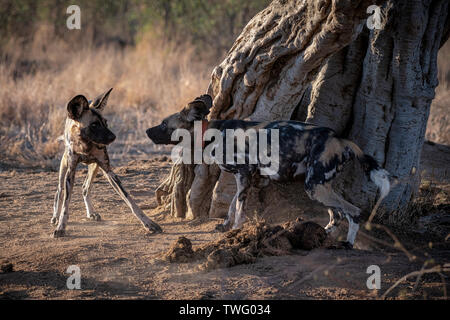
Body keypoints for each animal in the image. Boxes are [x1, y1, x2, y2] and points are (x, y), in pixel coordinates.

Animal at [52, 89, 162, 236]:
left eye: (106, 122)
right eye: (94, 125)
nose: (113, 137)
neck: (86, 145)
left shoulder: (108, 170)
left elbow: (130, 200)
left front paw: (148, 223)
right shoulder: (71, 171)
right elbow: (66, 203)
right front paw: (61, 226)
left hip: (95, 167)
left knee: (85, 187)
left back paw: (91, 213)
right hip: (64, 165)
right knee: (59, 190)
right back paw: (55, 217)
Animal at [146, 94, 392, 249]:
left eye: (163, 124)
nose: (147, 131)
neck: (211, 133)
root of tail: (340, 139)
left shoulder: (243, 174)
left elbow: (239, 208)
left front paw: (236, 230)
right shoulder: (246, 178)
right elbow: (233, 205)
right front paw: (225, 226)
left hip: (315, 187)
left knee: (353, 211)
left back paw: (348, 244)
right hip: (320, 186)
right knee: (338, 214)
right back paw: (320, 236)